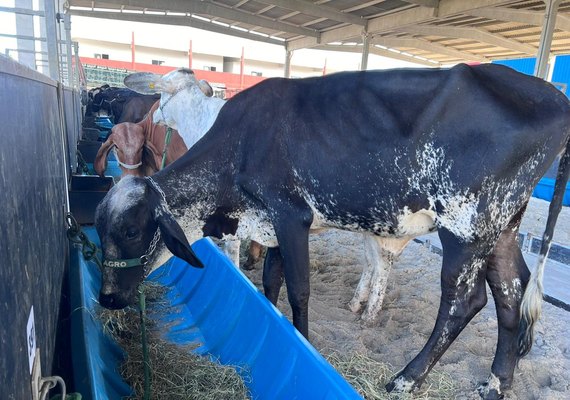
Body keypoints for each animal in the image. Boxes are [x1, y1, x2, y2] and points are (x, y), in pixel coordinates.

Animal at [94, 64, 568, 398]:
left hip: (465, 226)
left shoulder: (291, 216)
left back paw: (406, 378)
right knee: (511, 294)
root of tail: (552, 95)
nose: (108, 298)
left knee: (464, 301)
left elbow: (299, 290)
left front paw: (303, 342)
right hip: (501, 227)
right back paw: (497, 382)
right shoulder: (272, 225)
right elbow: (272, 282)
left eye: (132, 231)